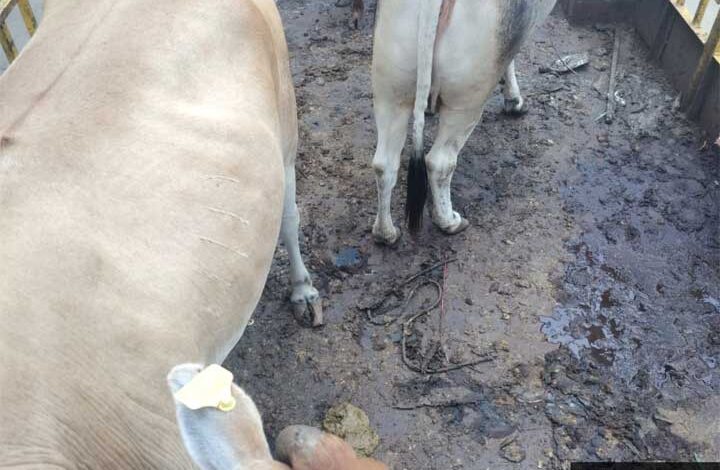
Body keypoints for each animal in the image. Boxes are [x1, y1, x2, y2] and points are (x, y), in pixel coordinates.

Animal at [370, 0, 556, 245]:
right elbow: (511, 61)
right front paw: (514, 101)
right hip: (466, 102)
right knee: (439, 163)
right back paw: (450, 222)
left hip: (391, 93)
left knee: (385, 164)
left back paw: (386, 233)